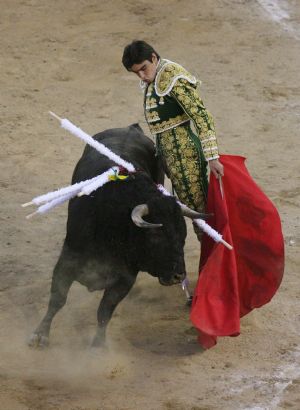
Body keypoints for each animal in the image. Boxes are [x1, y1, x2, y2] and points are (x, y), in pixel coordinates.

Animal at [28, 123, 204, 348]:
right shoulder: (68, 260)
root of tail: (131, 128)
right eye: (155, 234)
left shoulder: (125, 277)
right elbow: (57, 299)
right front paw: (40, 334)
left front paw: (98, 345)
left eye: (182, 235)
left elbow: (105, 311)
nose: (178, 276)